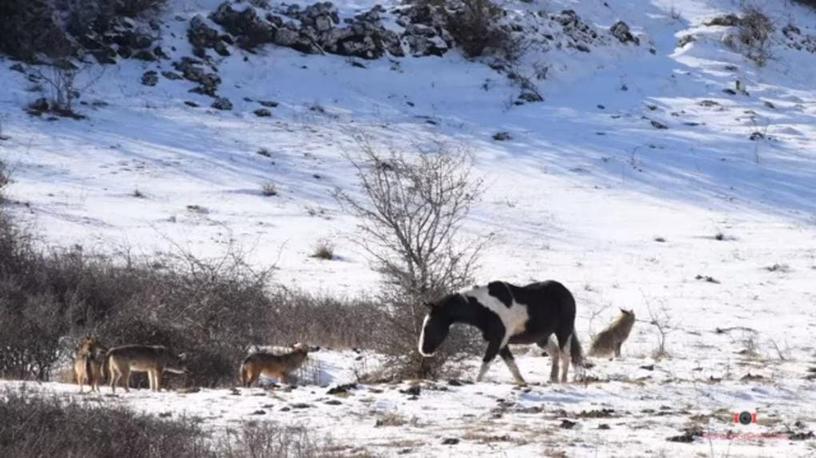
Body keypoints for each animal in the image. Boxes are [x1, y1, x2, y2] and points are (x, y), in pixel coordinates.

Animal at [418, 280, 584, 384]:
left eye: (430, 326)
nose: (424, 351)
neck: (485, 309)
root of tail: (566, 292)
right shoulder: (500, 342)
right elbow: (511, 365)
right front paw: (522, 383)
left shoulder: (497, 340)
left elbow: (486, 364)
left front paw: (477, 382)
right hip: (541, 338)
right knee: (555, 352)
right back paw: (552, 379)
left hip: (564, 331)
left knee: (565, 355)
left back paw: (563, 381)